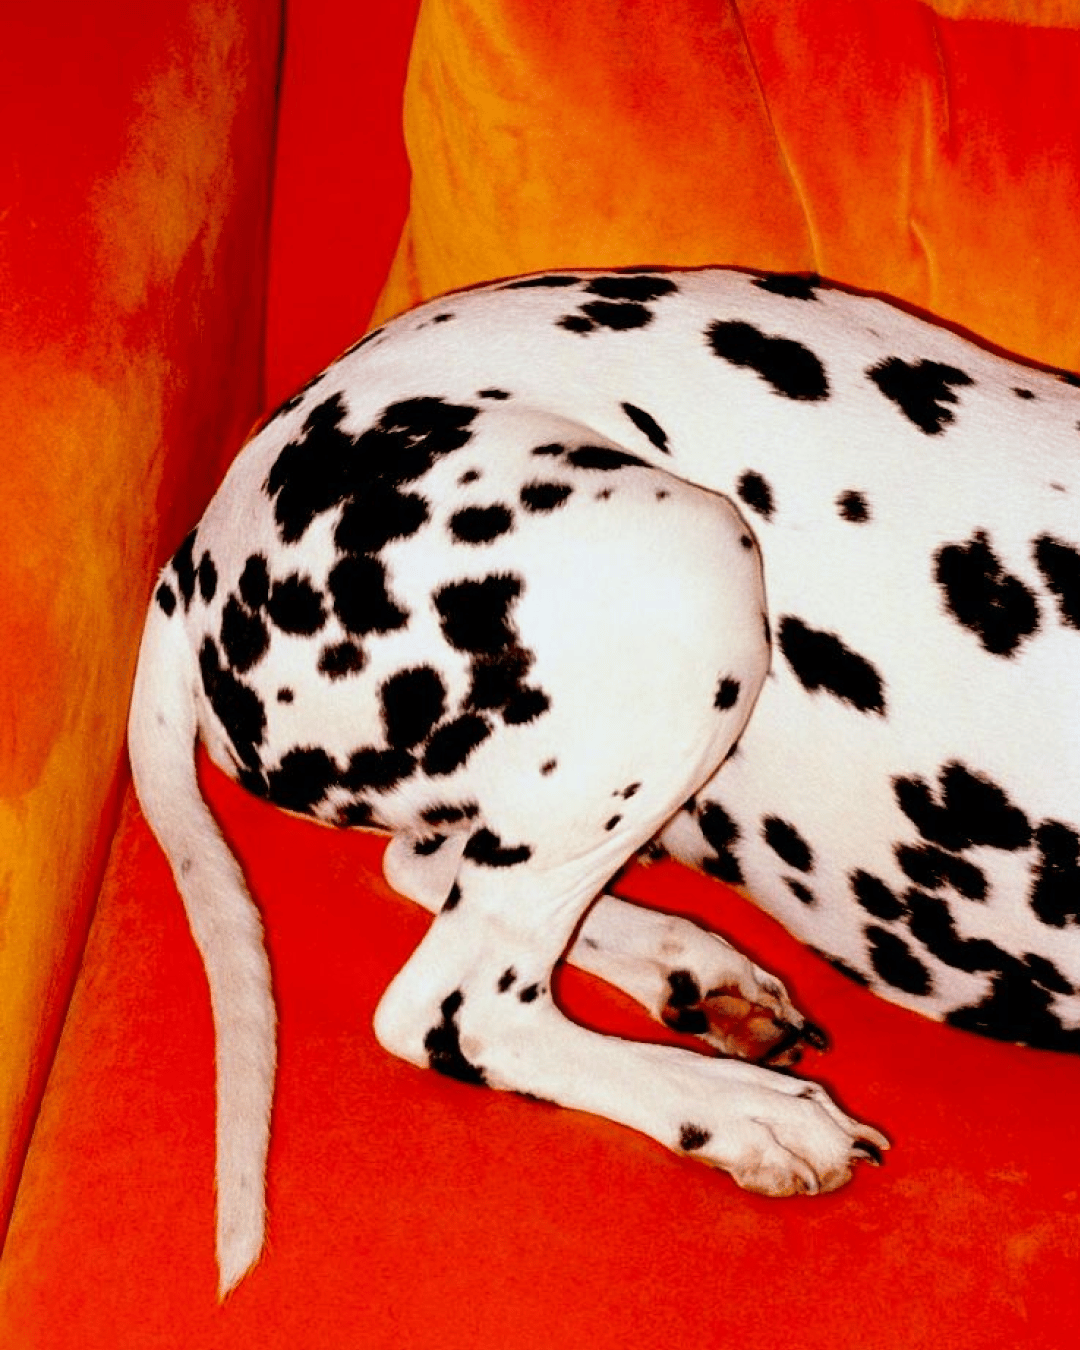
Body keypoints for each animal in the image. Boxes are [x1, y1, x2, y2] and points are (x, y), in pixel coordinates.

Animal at [128, 266, 1080, 1296]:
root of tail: (201, 543)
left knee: (428, 871)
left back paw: (695, 972)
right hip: (695, 566)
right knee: (456, 1009)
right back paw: (747, 1110)